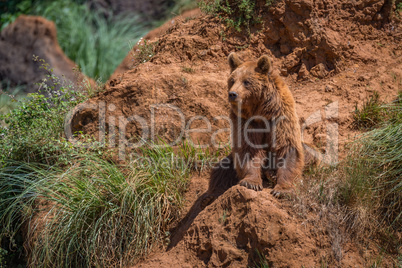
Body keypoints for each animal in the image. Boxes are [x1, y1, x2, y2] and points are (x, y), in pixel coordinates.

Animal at [203, 52, 304, 206]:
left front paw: (282, 190)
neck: (260, 111)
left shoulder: (280, 117)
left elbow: (287, 148)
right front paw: (251, 183)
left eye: (246, 81)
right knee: (220, 170)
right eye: (232, 80)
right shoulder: (246, 122)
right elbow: (248, 149)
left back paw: (272, 174)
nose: (232, 94)